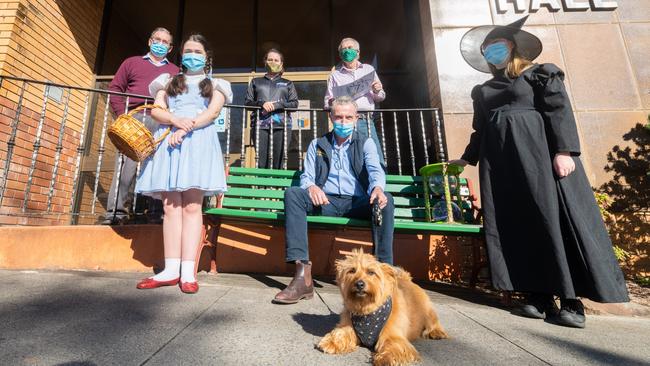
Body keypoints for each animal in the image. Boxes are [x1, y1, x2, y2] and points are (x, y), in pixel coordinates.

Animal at [318, 250, 448, 364]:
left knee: (433, 322)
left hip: (428, 311)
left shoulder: (393, 336)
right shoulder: (348, 326)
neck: (366, 311)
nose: (359, 284)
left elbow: (393, 346)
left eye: (371, 272)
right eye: (352, 271)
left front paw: (386, 358)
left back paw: (437, 332)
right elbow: (340, 333)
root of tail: (406, 279)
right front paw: (331, 342)